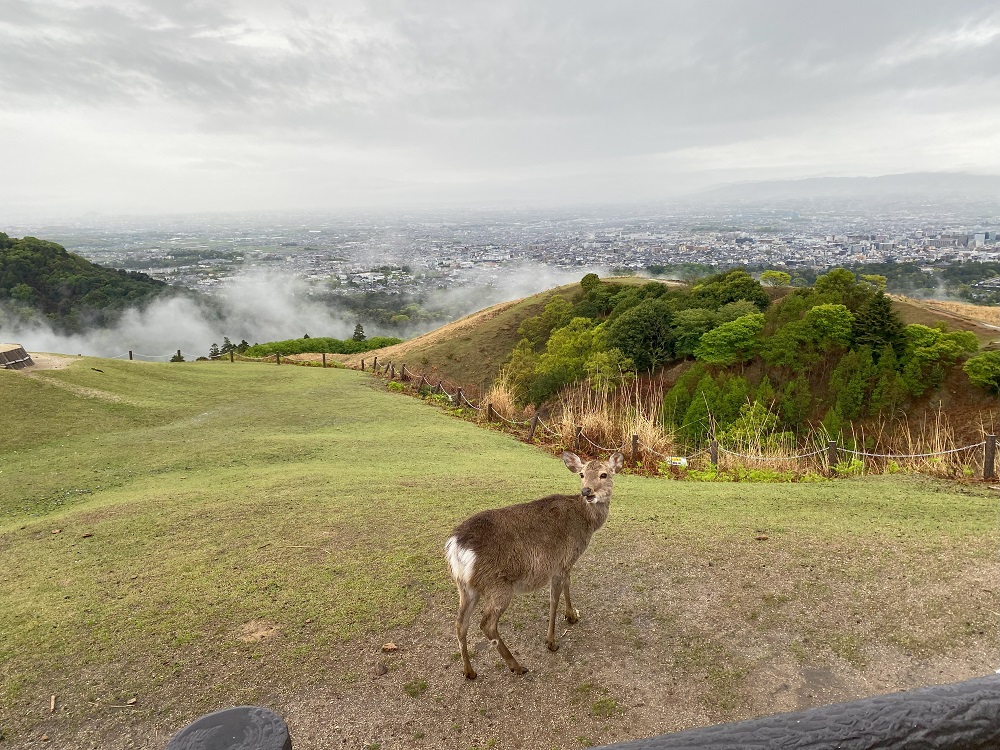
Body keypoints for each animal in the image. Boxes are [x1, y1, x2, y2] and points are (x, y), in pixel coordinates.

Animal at [448, 452, 624, 680]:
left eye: (604, 474)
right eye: (582, 474)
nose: (586, 491)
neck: (586, 524)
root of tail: (456, 547)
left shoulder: (566, 563)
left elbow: (568, 584)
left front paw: (571, 616)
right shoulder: (560, 562)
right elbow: (554, 600)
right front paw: (551, 642)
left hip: (465, 586)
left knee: (460, 623)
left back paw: (469, 671)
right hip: (498, 585)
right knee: (486, 624)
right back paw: (516, 666)